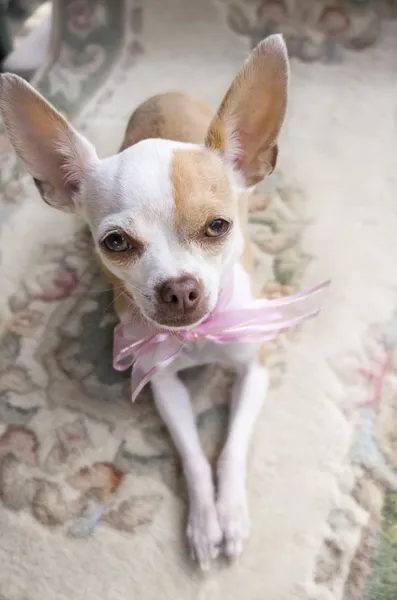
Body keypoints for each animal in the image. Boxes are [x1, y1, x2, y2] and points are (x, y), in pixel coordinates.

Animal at [1, 35, 292, 568]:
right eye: (115, 242)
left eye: (218, 226)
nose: (178, 287)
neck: (196, 337)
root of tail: (167, 91)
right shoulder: (163, 386)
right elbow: (194, 454)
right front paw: (204, 523)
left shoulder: (254, 370)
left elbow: (231, 446)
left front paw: (231, 513)